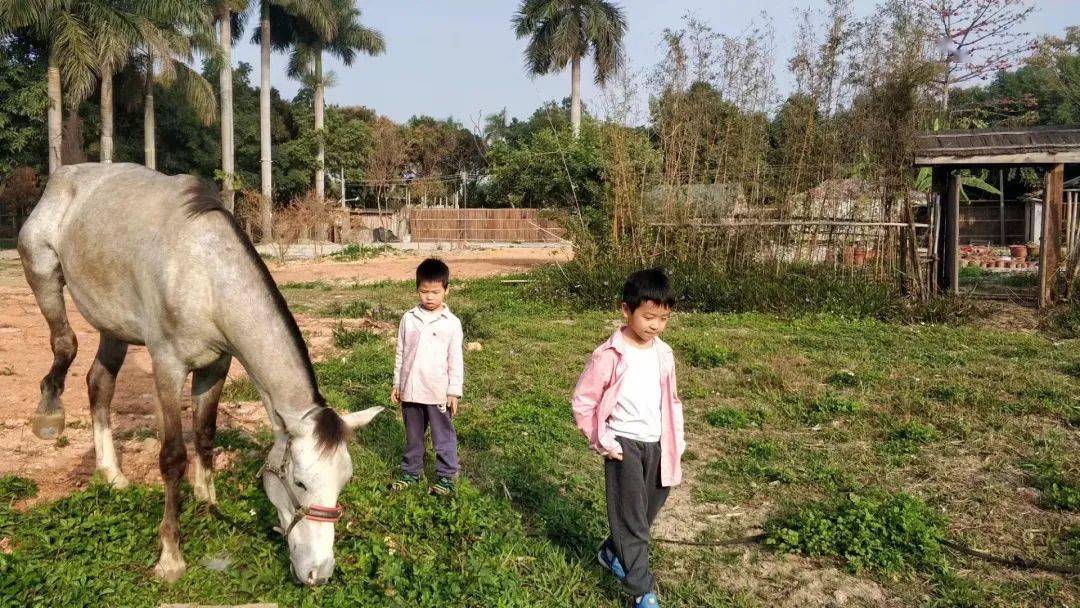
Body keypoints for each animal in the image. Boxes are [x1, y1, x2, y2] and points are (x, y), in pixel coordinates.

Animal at [16, 161, 384, 583]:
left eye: (344, 482)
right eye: (300, 482)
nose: (318, 573)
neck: (204, 275)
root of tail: (64, 176)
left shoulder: (216, 365)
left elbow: (206, 434)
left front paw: (207, 502)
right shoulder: (167, 366)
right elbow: (173, 456)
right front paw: (170, 556)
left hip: (115, 325)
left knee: (100, 383)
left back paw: (111, 474)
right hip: (43, 273)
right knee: (65, 344)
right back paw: (49, 415)